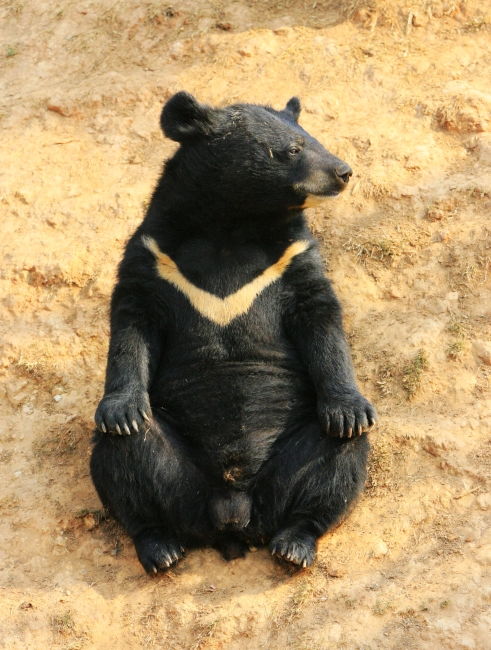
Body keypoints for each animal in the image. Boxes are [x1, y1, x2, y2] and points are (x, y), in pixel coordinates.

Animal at [90, 92, 377, 574]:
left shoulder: (293, 257)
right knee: (124, 456)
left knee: (336, 457)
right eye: (292, 149)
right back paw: (160, 546)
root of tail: (234, 516)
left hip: (291, 463)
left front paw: (350, 409)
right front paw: (121, 408)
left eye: (313, 138)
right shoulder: (152, 256)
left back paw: (294, 542)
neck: (232, 224)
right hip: (180, 480)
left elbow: (320, 317)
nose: (343, 172)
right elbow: (131, 322)